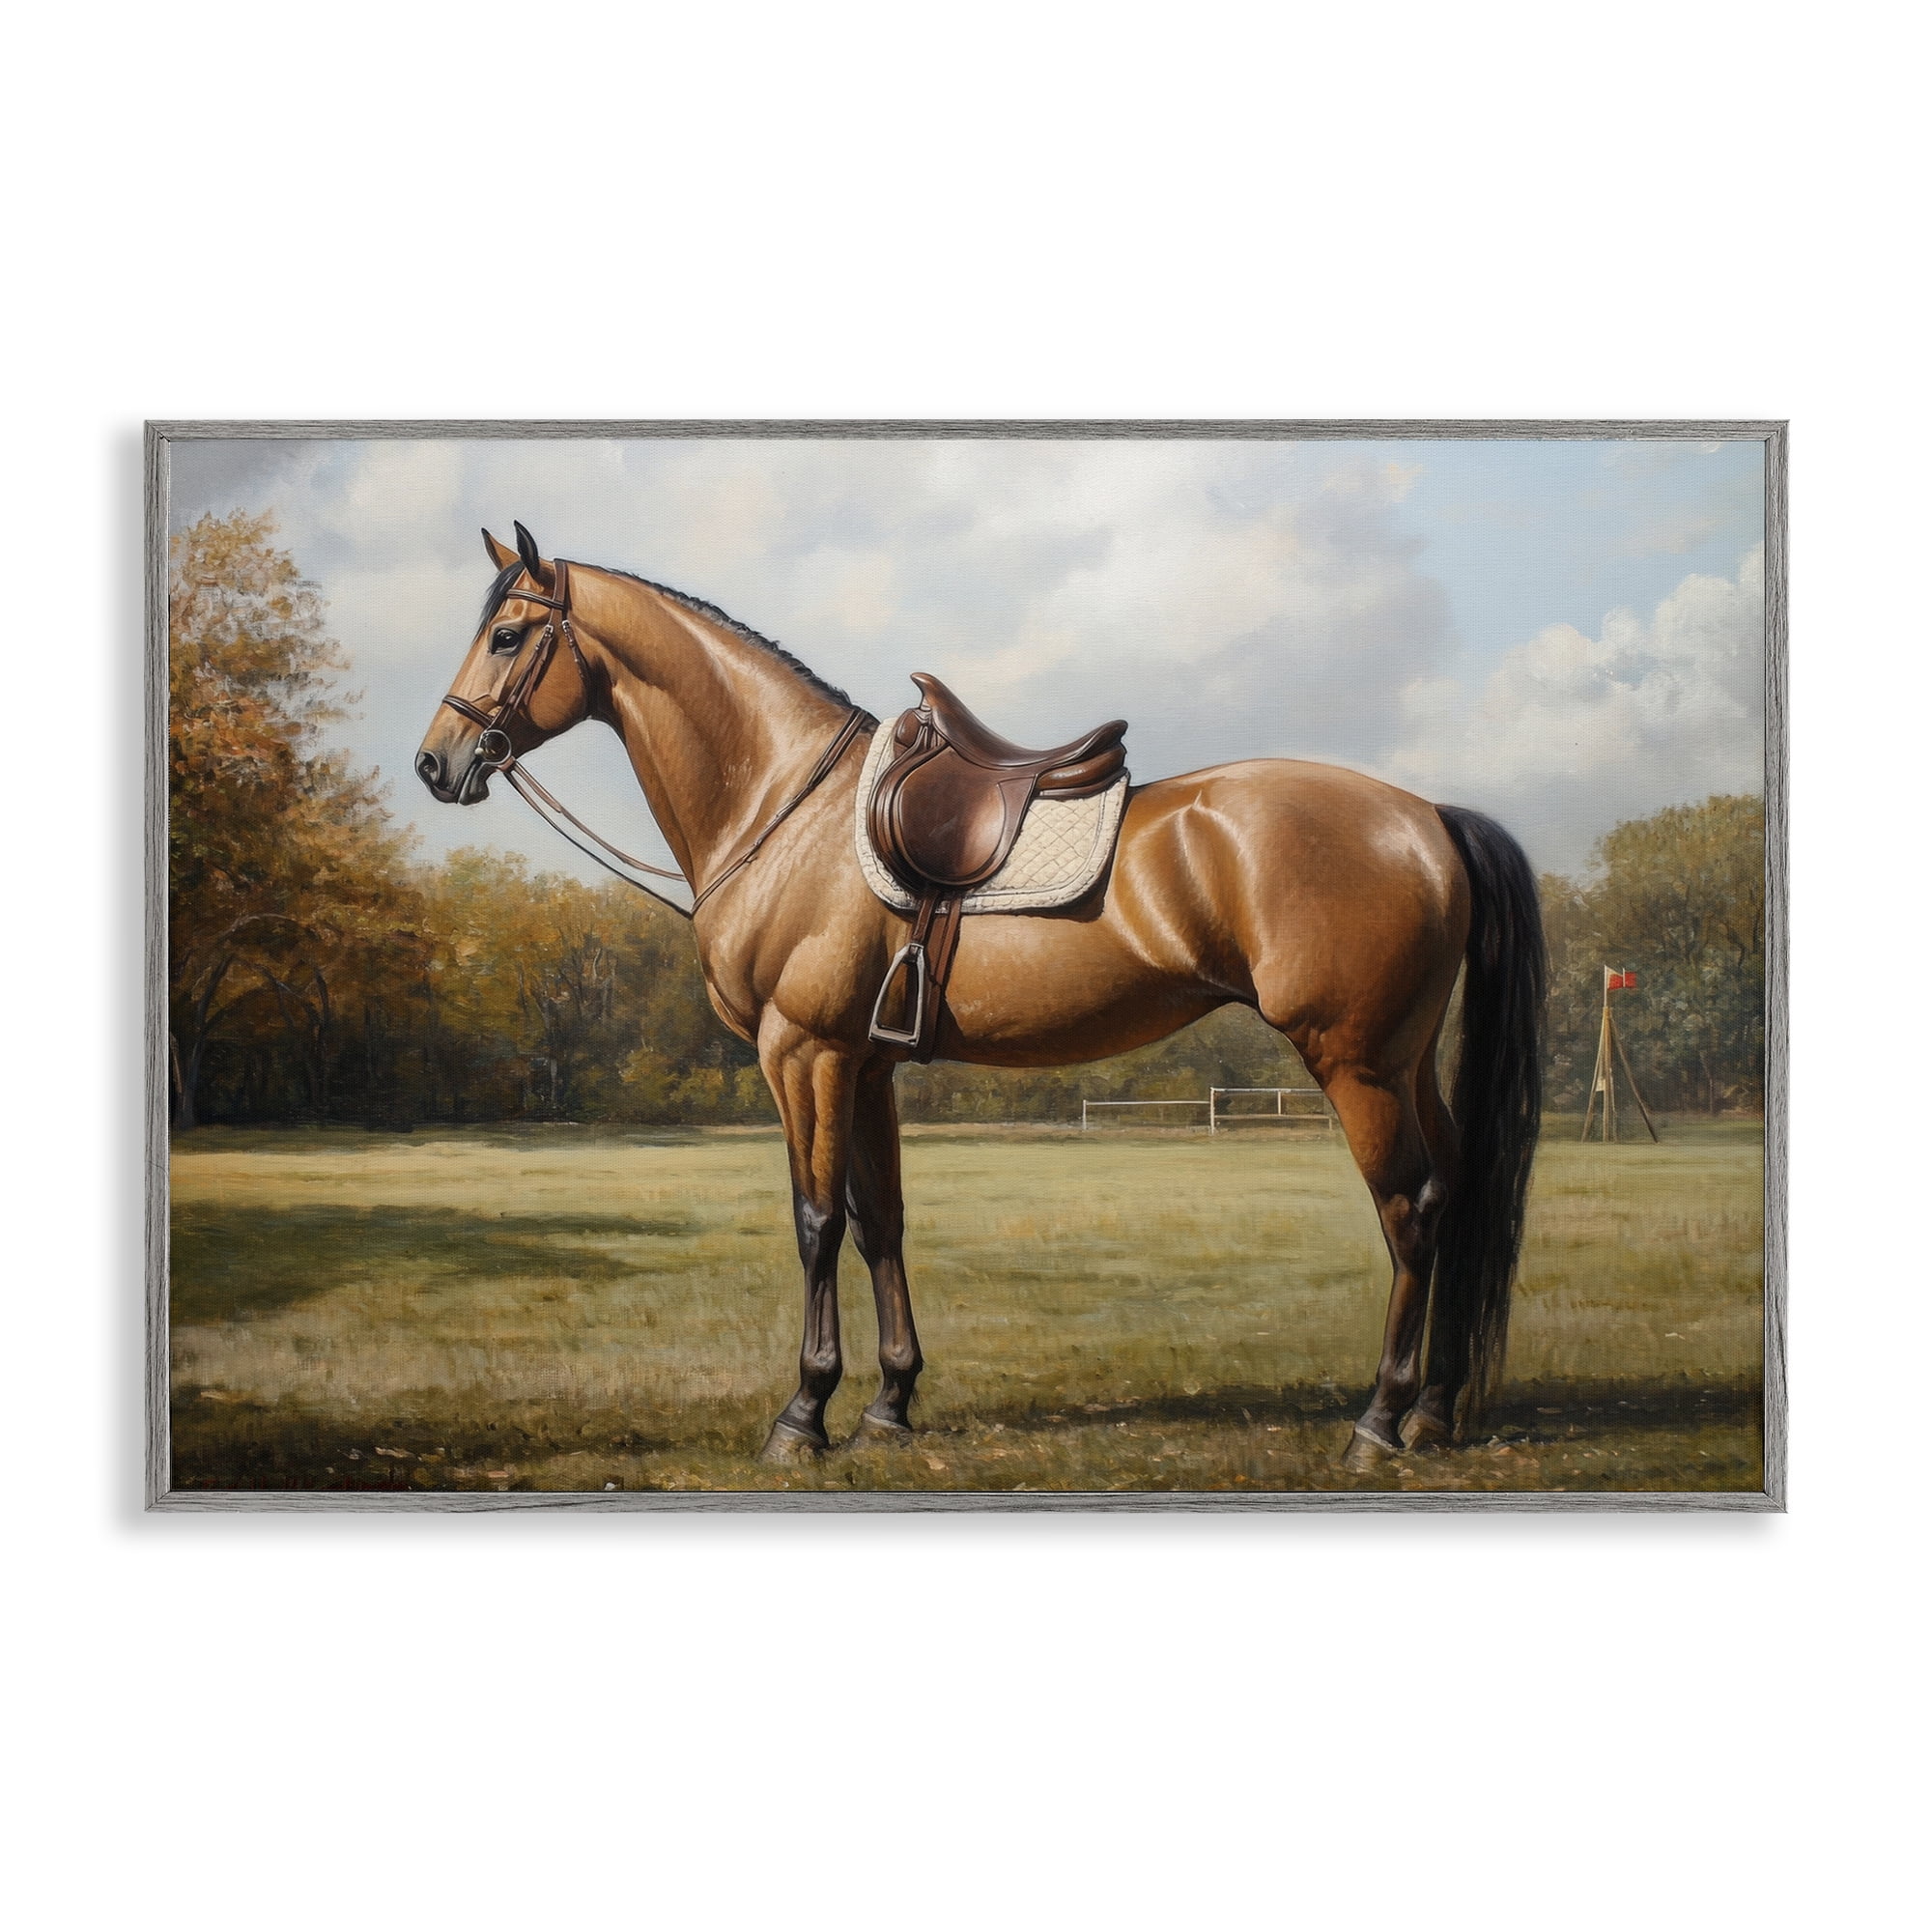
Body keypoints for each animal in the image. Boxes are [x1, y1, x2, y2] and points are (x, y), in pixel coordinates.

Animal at [415, 524, 1545, 1473]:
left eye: (508, 634)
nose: (436, 762)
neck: (787, 808)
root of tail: (1425, 817)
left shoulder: (803, 1053)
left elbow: (814, 1221)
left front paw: (802, 1415)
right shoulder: (865, 1064)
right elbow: (880, 1221)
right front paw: (888, 1403)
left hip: (1354, 1063)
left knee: (1408, 1209)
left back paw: (1377, 1421)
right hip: (1404, 1061)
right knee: (1455, 1190)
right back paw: (1432, 1410)